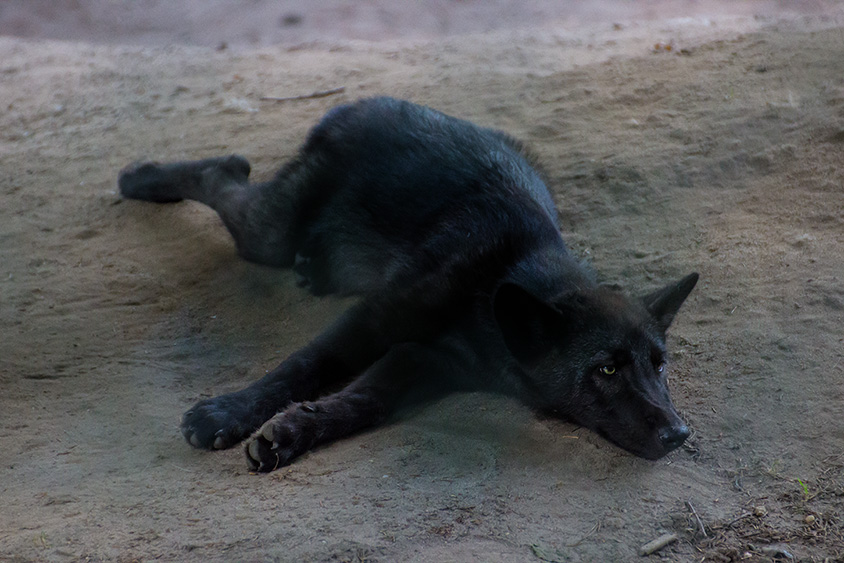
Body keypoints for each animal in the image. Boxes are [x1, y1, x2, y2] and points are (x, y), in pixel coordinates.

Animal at [118, 97, 700, 472]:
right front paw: (228, 413)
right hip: (268, 233)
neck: (497, 287)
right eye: (607, 369)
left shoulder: (424, 362)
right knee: (222, 175)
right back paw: (140, 177)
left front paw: (290, 435)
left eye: (660, 365)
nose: (679, 434)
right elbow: (305, 366)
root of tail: (371, 100)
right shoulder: (375, 320)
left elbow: (363, 403)